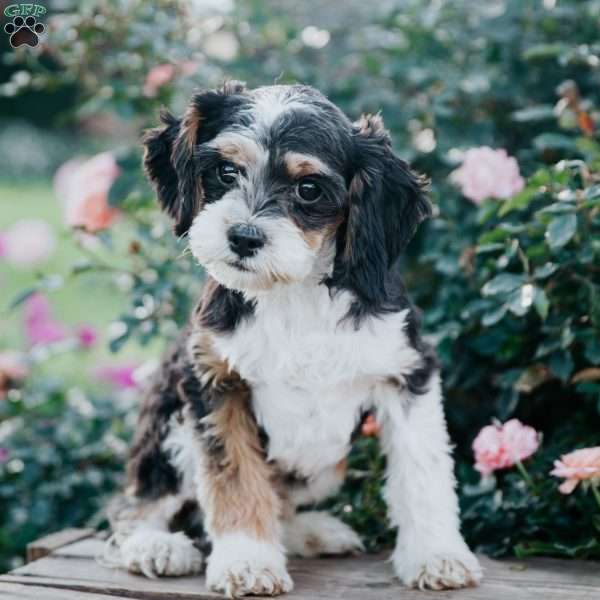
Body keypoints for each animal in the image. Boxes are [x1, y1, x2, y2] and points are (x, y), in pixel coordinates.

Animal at [101, 82, 480, 596]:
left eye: (308, 189)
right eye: (225, 171)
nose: (243, 237)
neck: (293, 293)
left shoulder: (407, 371)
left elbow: (422, 470)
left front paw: (436, 555)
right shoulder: (213, 383)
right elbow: (236, 478)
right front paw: (247, 562)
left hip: (325, 467)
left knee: (279, 502)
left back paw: (313, 532)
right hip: (172, 427)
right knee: (133, 507)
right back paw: (155, 546)